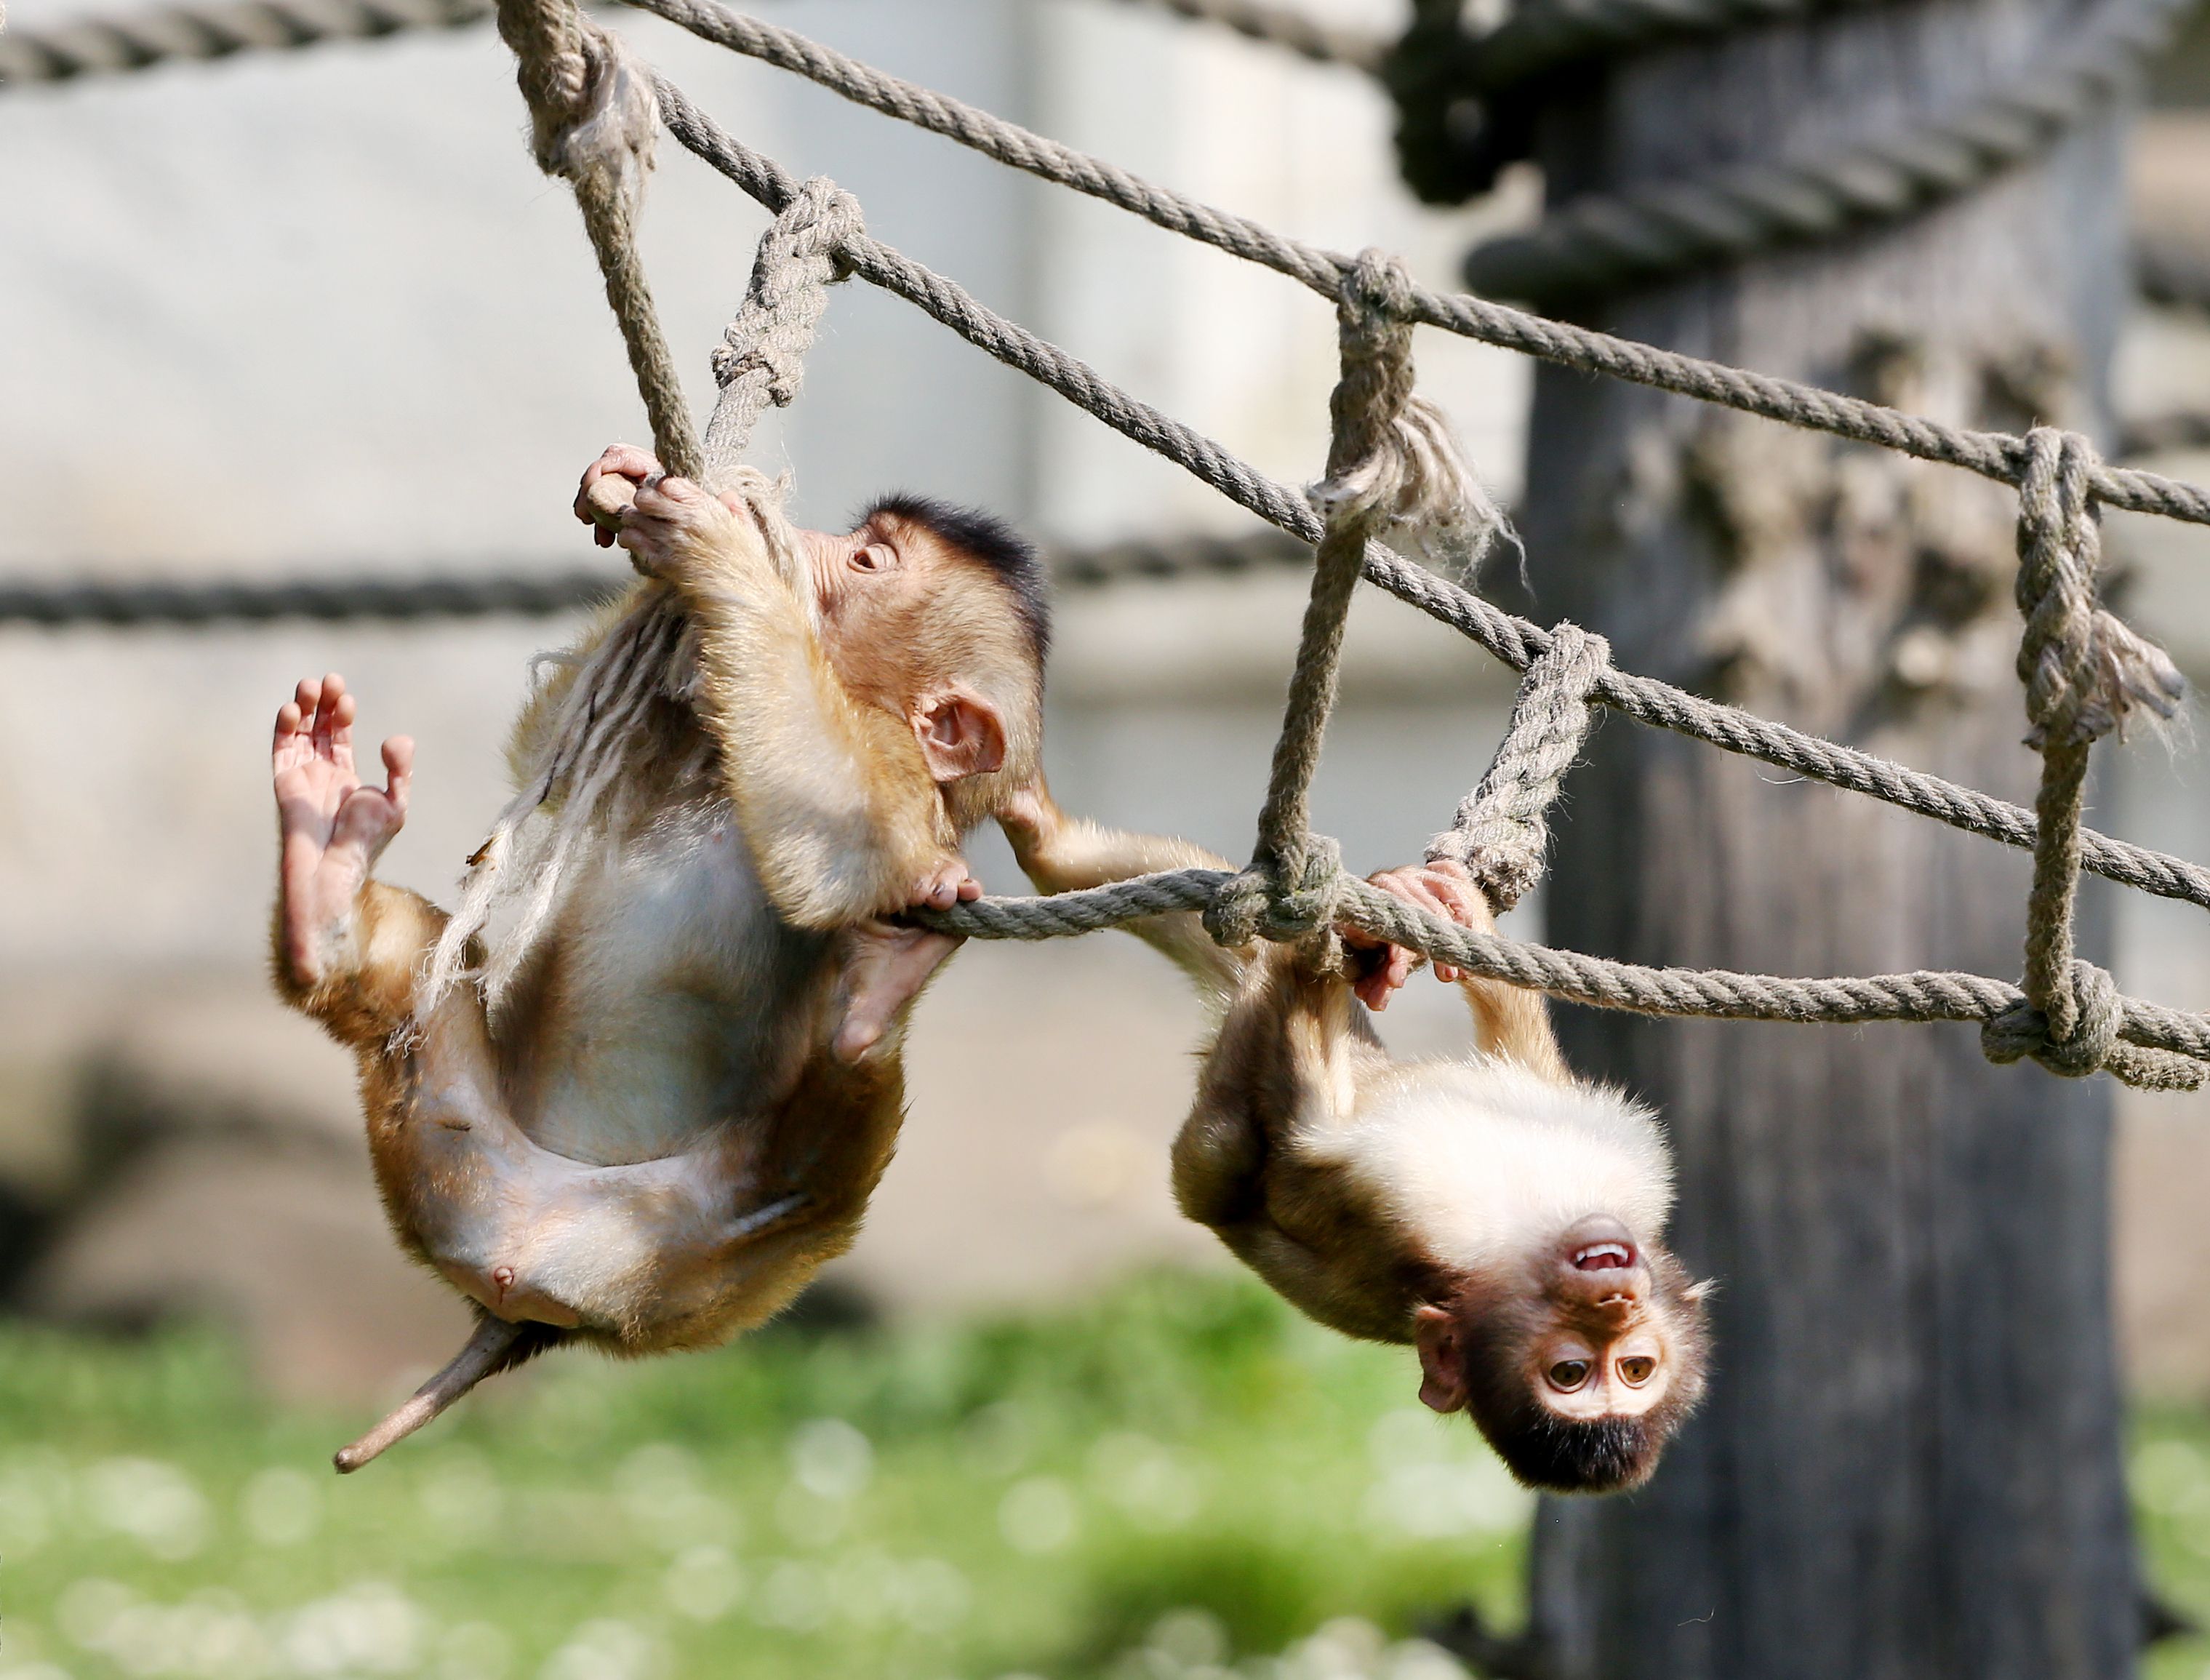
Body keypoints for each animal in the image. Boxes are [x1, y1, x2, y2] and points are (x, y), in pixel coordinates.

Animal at [272, 444, 1050, 1469]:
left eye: (868, 561)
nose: (806, 536)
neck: (721, 778)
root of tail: (533, 1283)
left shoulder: (892, 763)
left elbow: (857, 850)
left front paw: (718, 551)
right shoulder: (689, 730)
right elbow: (549, 743)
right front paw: (624, 477)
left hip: (717, 1270)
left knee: (828, 1158)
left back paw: (871, 1008)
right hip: (441, 1134)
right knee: (412, 980)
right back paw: (321, 880)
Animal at [998, 791, 1711, 1494]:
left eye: (1633, 1370)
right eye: (1572, 1374)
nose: (1614, 1299)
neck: (1534, 1231)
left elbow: (1307, 1143)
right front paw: (1434, 906)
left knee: (1224, 1132)